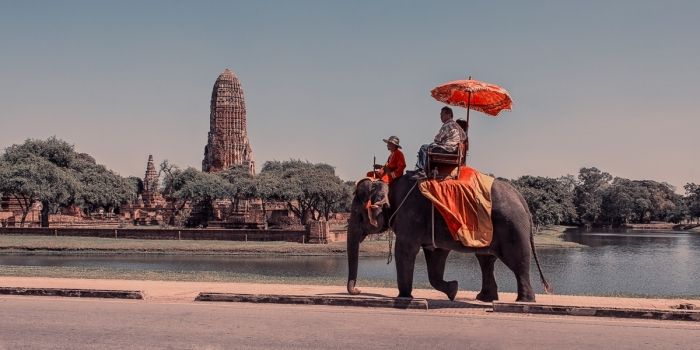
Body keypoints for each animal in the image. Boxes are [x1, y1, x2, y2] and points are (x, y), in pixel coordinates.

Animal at [348, 174, 548, 302]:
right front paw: (453, 290)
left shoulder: (410, 216)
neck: (390, 182)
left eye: (358, 214)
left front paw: (404, 297)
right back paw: (485, 298)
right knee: (486, 260)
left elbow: (405, 251)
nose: (358, 290)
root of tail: (521, 198)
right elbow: (435, 256)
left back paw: (524, 301)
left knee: (517, 261)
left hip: (512, 227)